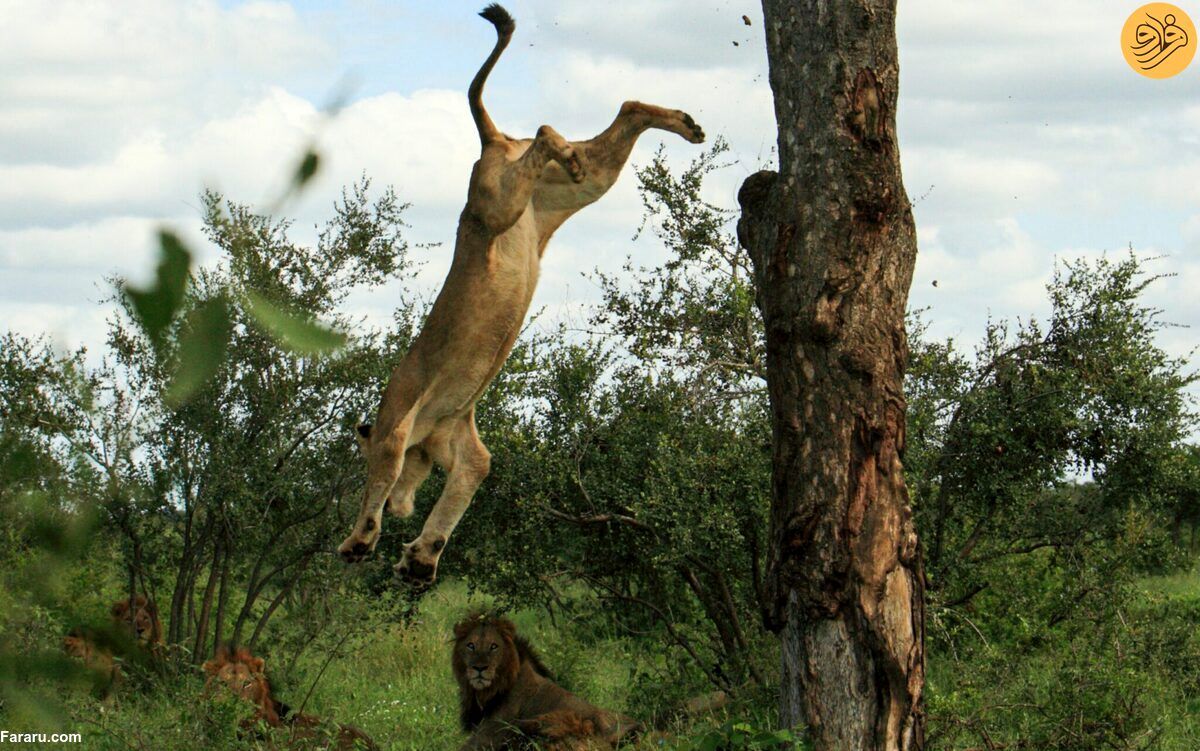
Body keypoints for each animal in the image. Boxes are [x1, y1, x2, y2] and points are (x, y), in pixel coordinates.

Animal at [338, 1, 700, 585]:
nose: (400, 512)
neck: (430, 435)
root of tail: (494, 141)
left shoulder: (396, 422)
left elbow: (380, 476)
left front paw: (360, 540)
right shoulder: (462, 446)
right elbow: (463, 491)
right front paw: (421, 558)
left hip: (496, 201)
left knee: (545, 129)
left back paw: (568, 145)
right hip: (578, 187)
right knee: (625, 110)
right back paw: (685, 125)